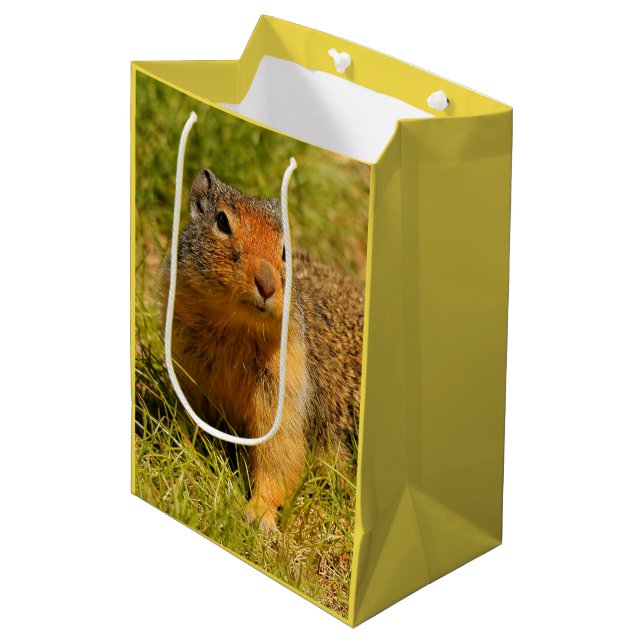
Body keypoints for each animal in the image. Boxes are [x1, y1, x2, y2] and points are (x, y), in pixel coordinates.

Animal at [159, 168, 364, 532]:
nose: (267, 285)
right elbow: (189, 421)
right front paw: (183, 458)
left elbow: (280, 454)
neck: (231, 325)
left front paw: (259, 513)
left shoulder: (285, 387)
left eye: (285, 250)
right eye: (222, 222)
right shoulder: (185, 371)